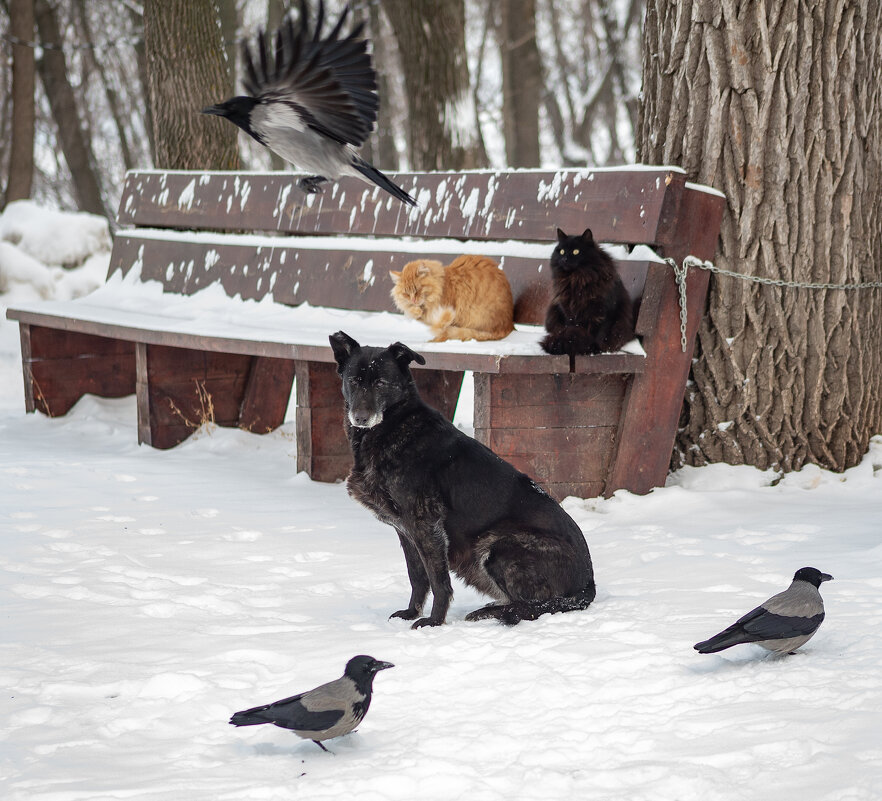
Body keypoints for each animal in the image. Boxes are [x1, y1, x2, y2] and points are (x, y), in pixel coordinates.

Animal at [326, 330, 596, 624]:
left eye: (381, 383)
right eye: (353, 381)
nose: (360, 418)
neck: (394, 426)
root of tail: (588, 584)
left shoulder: (426, 525)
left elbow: (438, 581)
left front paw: (433, 622)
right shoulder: (406, 531)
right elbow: (417, 577)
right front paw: (410, 614)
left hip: (498, 546)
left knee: (535, 605)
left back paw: (491, 612)